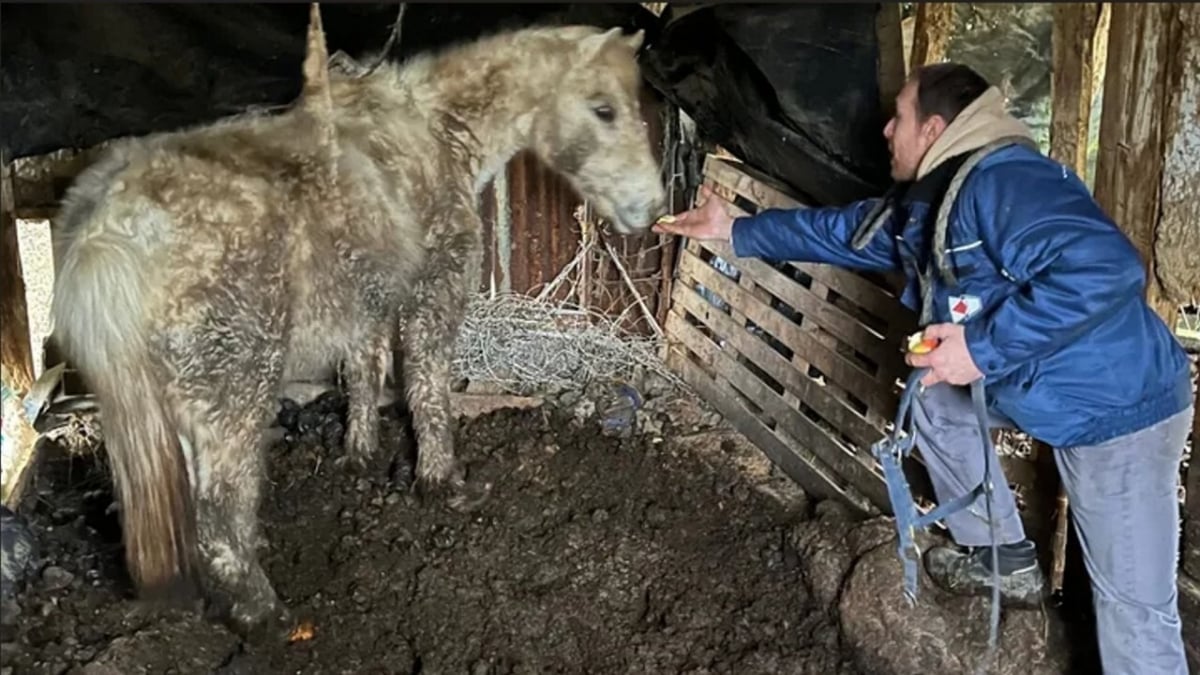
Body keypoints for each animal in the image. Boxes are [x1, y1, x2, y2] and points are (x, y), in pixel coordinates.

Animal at [49, 10, 667, 638]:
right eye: (603, 109)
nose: (652, 210)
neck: (437, 133)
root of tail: (109, 230)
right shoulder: (432, 291)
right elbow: (426, 387)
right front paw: (441, 482)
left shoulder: (369, 302)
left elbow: (365, 374)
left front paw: (359, 454)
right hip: (236, 391)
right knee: (220, 510)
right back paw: (268, 616)